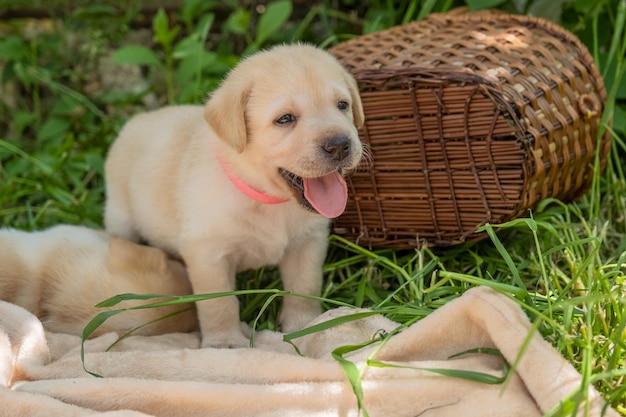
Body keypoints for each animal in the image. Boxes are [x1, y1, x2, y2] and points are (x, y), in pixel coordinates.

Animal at [104, 43, 364, 348]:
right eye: (285, 119)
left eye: (342, 105)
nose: (340, 145)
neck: (267, 199)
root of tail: (135, 121)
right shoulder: (208, 254)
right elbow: (218, 302)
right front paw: (224, 342)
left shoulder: (308, 243)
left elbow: (305, 285)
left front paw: (305, 325)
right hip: (120, 216)